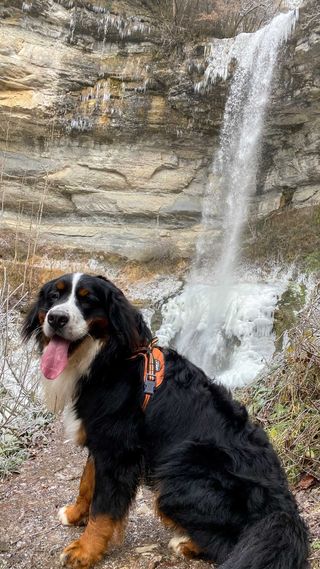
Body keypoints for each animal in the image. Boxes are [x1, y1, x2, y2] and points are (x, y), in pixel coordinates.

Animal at [21, 272, 308, 564]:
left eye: (87, 300)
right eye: (54, 296)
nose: (56, 318)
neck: (107, 360)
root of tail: (283, 509)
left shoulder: (117, 452)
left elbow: (103, 508)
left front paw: (84, 551)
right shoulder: (100, 440)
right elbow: (86, 483)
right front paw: (75, 514)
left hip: (177, 473)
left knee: (233, 545)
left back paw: (186, 544)